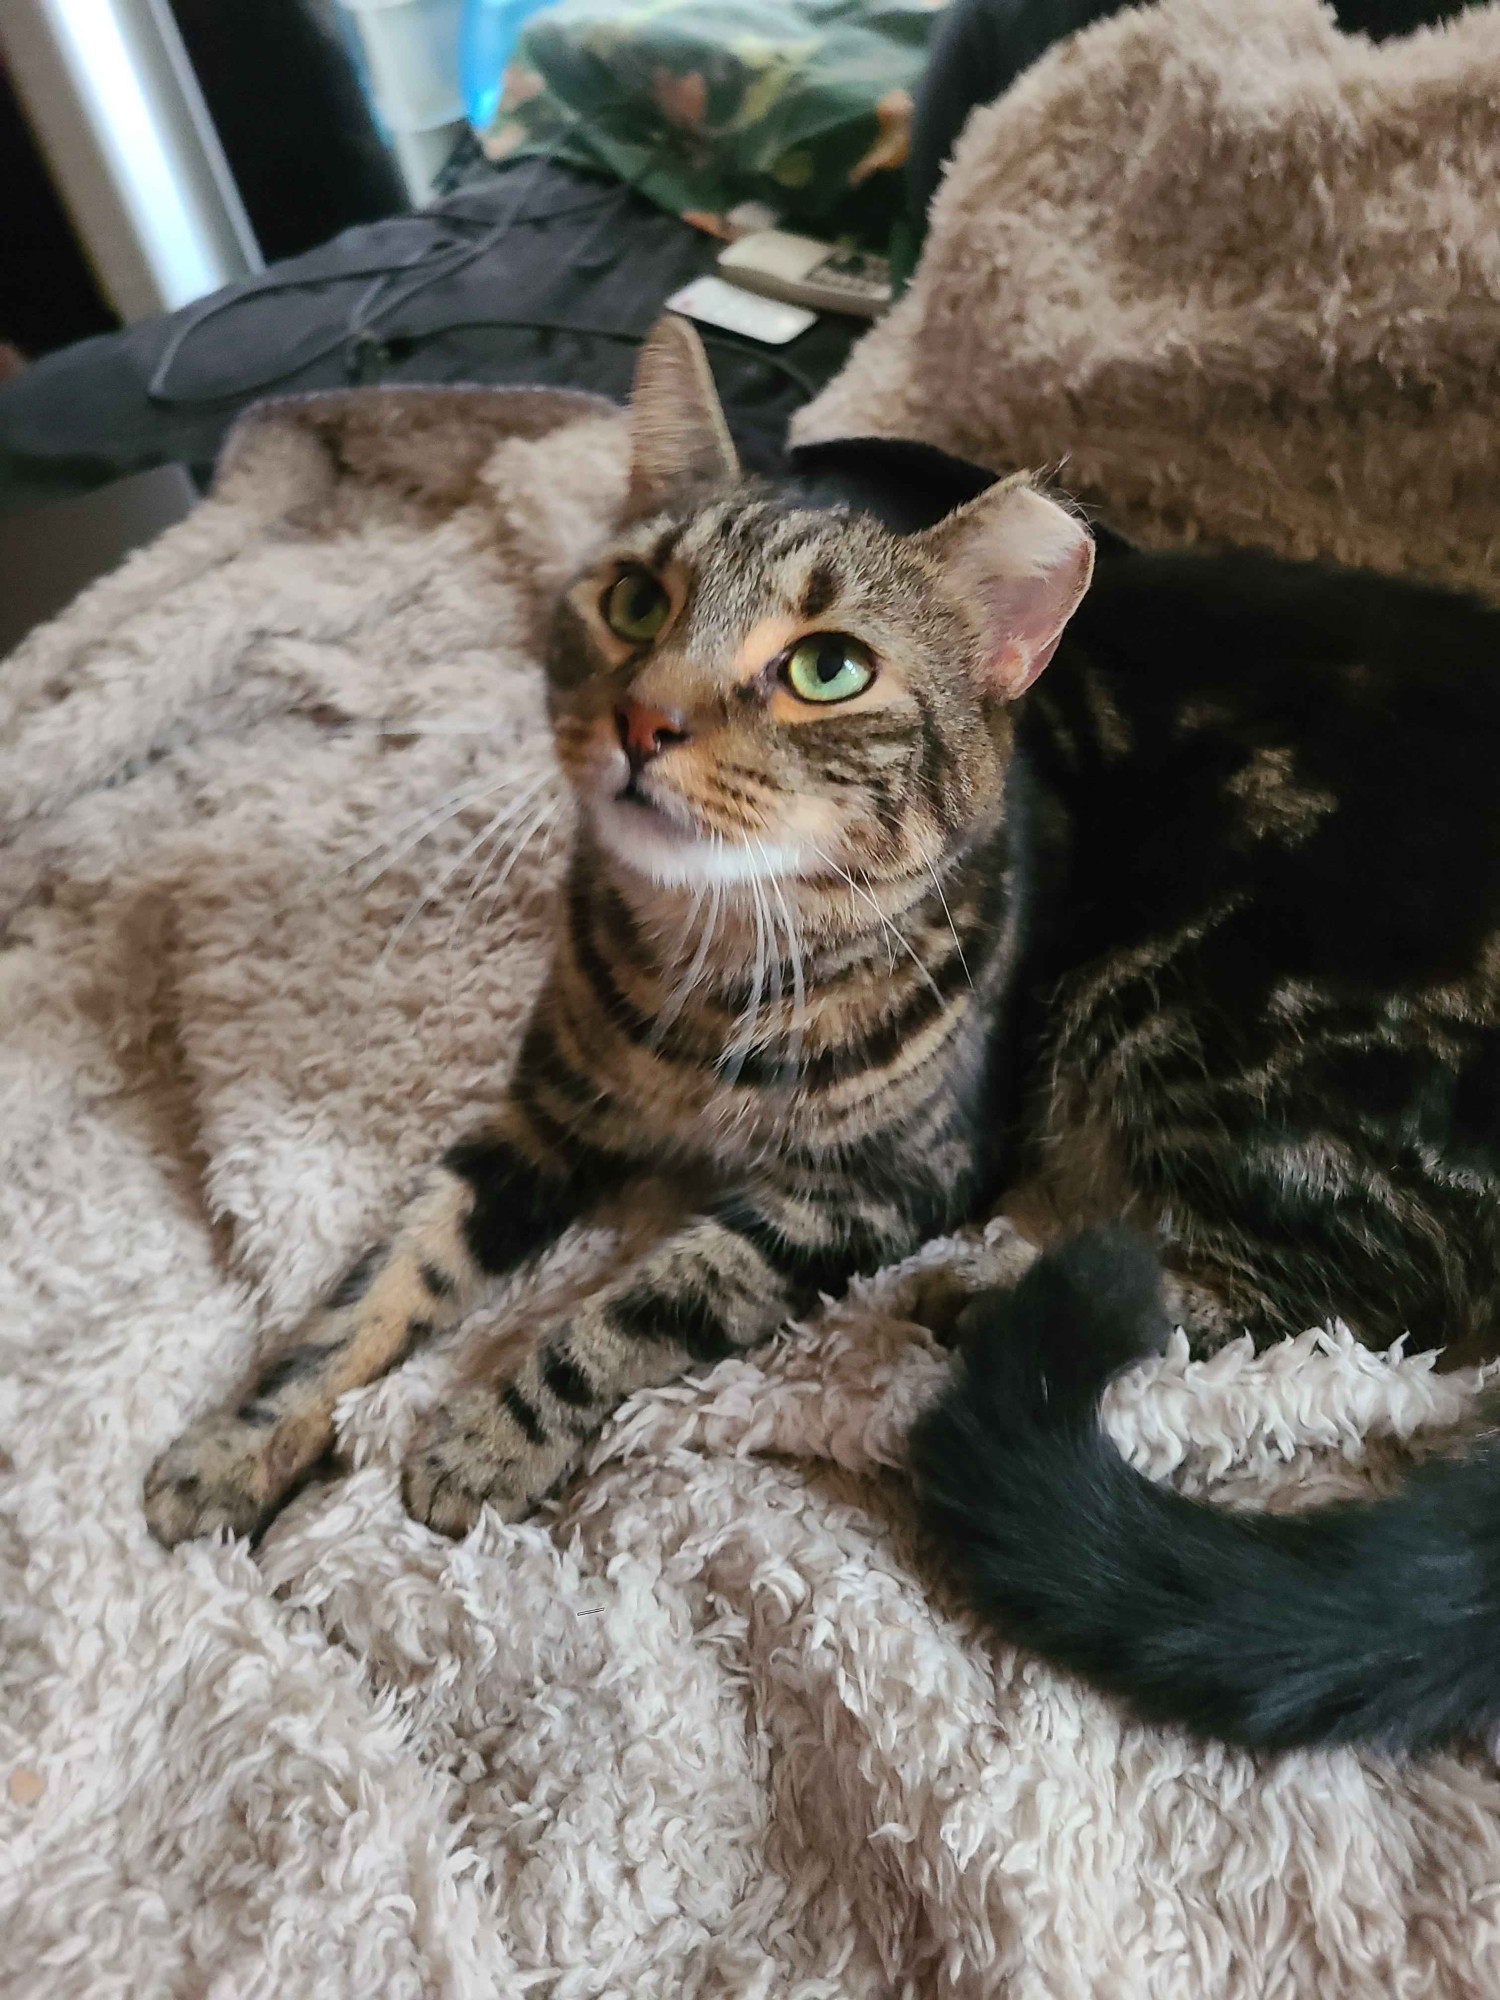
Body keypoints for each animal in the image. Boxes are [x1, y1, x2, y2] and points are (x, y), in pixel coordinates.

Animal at [147, 312, 1500, 1752]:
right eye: (638, 601)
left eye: (827, 668)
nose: (644, 719)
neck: (708, 969)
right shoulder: (540, 1114)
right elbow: (383, 1279)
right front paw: (239, 1441)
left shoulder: (886, 1181)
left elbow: (647, 1297)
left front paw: (491, 1428)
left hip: (1196, 1000)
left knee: (1348, 1305)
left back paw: (999, 1291)